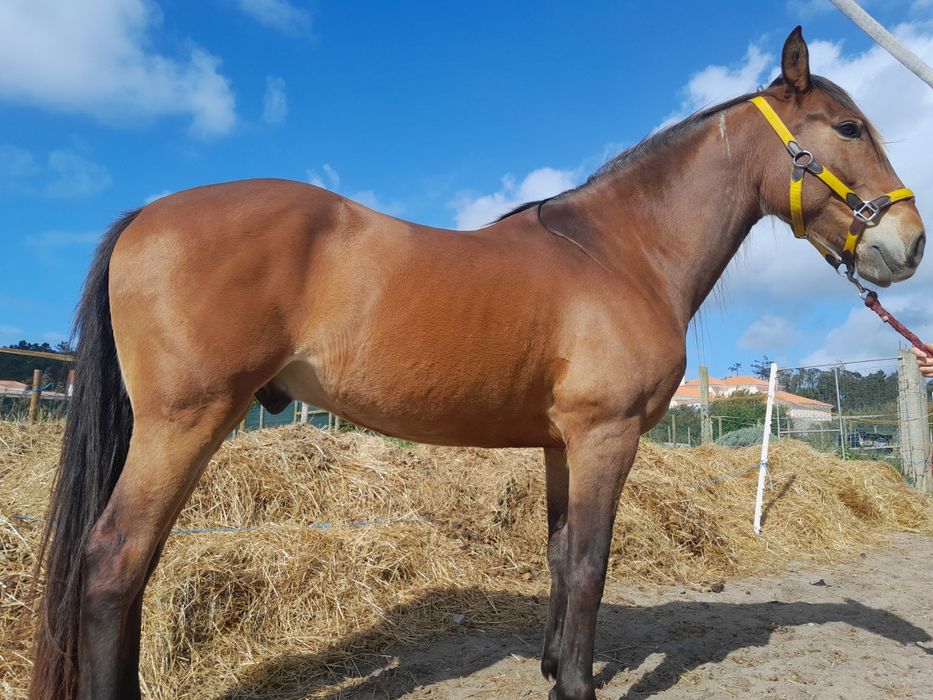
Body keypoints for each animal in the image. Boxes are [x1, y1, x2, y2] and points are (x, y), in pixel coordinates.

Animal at [30, 27, 924, 700]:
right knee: (113, 564)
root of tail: (147, 214)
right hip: (186, 422)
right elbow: (591, 564)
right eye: (847, 129)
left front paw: (556, 668)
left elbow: (561, 558)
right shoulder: (604, 437)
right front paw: (578, 687)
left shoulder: (563, 444)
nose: (907, 245)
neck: (618, 254)